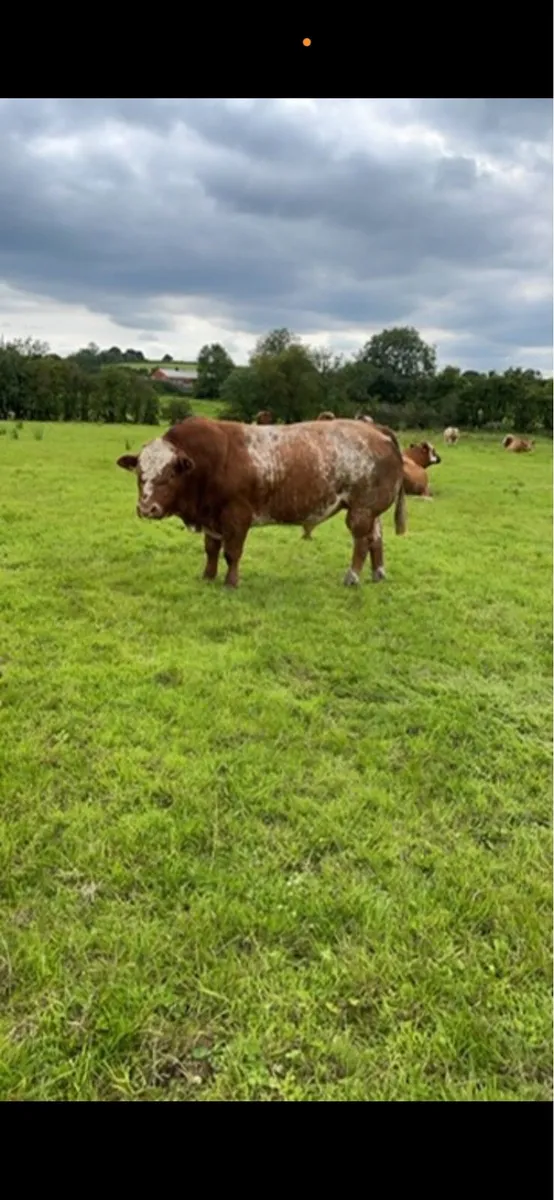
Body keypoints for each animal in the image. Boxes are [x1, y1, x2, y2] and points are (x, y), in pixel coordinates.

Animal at [116, 417, 406, 589]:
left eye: (170, 474)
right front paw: (208, 576)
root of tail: (375, 429)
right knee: (376, 539)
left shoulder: (237, 516)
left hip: (361, 510)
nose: (146, 508)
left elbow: (231, 553)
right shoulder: (211, 517)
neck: (208, 463)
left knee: (362, 541)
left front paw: (231, 582)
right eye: (139, 473)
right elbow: (211, 549)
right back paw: (378, 573)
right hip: (371, 511)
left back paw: (352, 576)